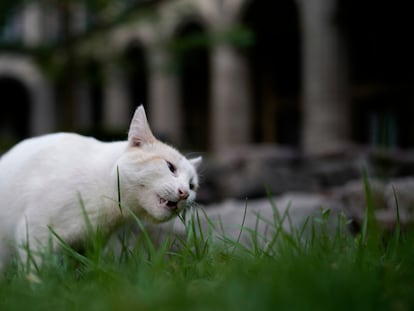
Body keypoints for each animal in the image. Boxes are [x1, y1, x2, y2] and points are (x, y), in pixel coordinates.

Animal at [0, 106, 202, 272]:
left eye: (192, 186)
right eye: (170, 167)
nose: (184, 193)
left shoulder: (88, 245)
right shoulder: (36, 233)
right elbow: (36, 270)